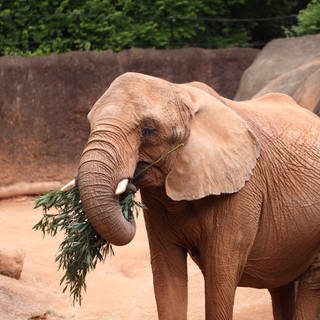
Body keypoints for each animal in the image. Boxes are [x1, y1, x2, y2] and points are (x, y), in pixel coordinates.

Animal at [77, 73, 320, 320]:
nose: (128, 187)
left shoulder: (242, 191)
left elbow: (220, 275)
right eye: (89, 125)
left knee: (310, 286)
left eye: (148, 130)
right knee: (281, 288)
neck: (181, 93)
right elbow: (167, 274)